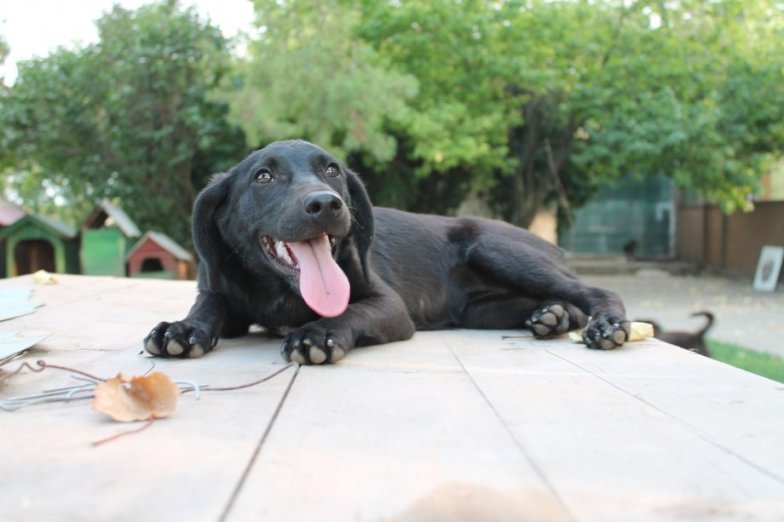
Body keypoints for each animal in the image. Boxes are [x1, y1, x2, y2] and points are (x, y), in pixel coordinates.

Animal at [144, 140, 628, 364]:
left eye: (332, 171)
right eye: (263, 177)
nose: (326, 204)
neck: (281, 292)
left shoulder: (388, 304)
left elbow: (350, 311)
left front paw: (318, 334)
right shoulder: (221, 294)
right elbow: (207, 305)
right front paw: (182, 329)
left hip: (494, 247)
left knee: (595, 291)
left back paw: (607, 326)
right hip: (482, 309)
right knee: (561, 302)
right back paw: (553, 317)